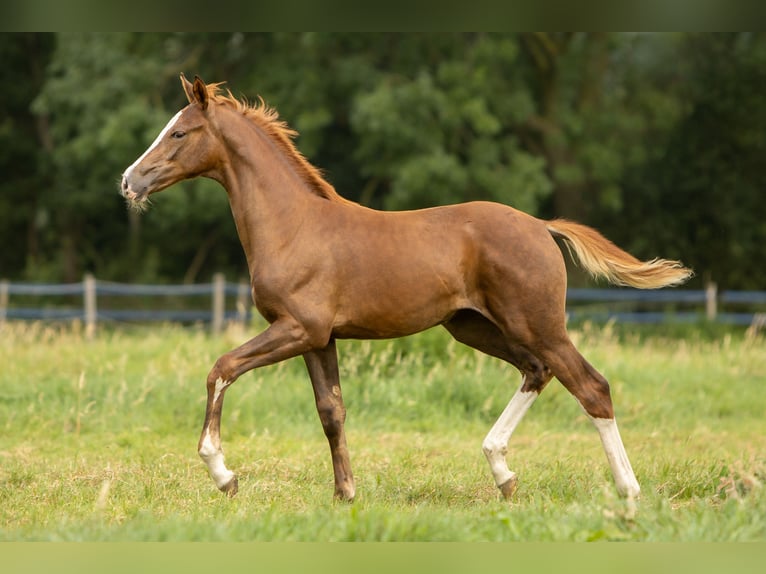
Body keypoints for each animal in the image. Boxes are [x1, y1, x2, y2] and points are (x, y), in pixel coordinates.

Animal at [121, 75, 696, 504]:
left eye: (179, 133)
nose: (129, 181)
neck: (293, 224)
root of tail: (540, 225)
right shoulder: (319, 339)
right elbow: (331, 412)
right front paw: (345, 496)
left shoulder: (296, 328)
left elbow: (221, 369)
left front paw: (224, 474)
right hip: (474, 327)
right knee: (539, 371)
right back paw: (503, 473)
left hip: (537, 323)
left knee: (591, 386)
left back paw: (627, 492)